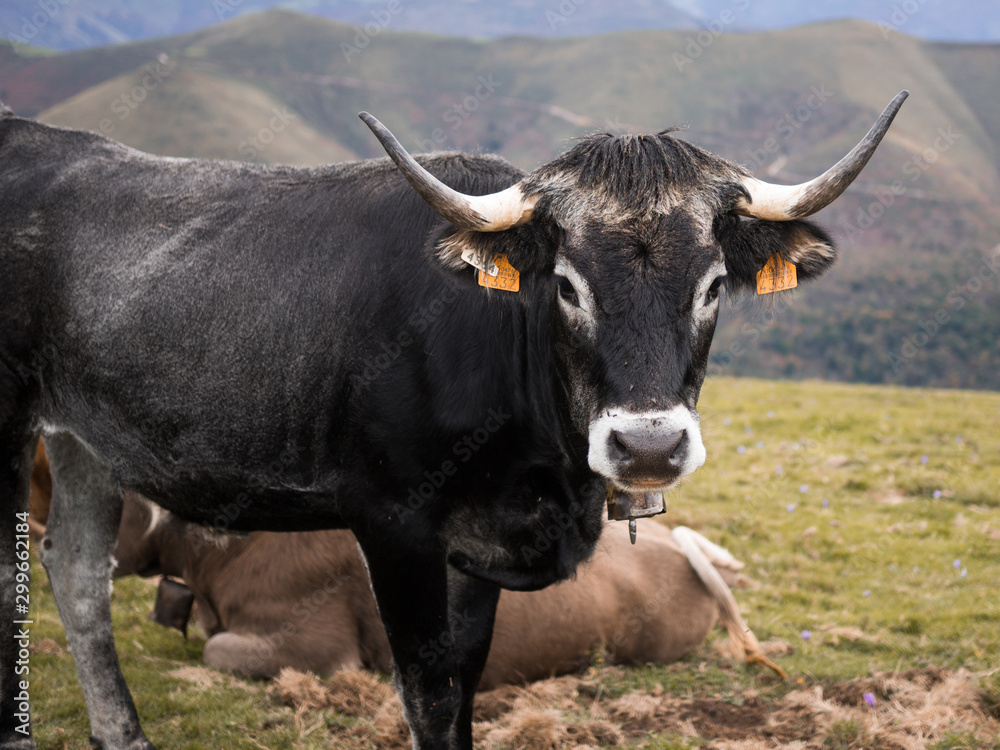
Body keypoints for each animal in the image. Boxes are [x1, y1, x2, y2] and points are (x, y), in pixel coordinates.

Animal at [0, 90, 907, 750]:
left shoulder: (478, 543)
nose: (647, 444)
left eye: (714, 284)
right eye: (566, 285)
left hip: (83, 438)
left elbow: (466, 679)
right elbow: (428, 692)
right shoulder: (393, 524)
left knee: (76, 573)